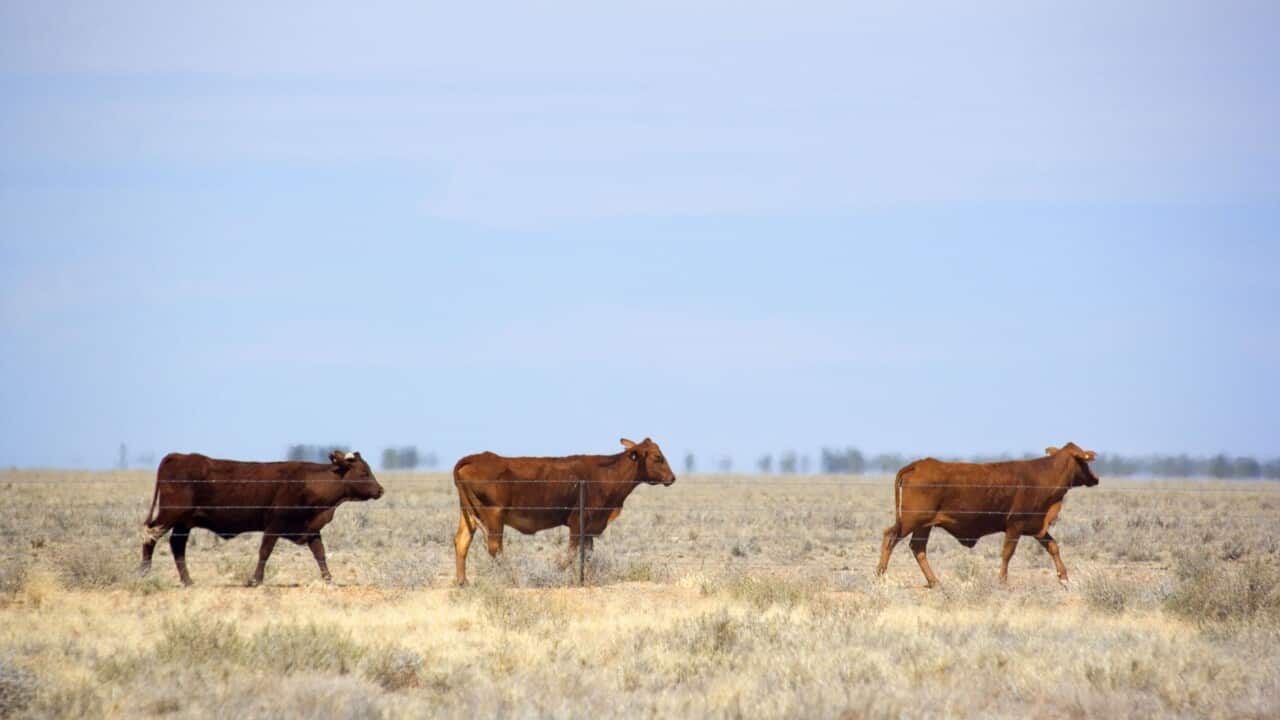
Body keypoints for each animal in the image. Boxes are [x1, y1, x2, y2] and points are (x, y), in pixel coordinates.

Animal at [139, 450, 384, 586]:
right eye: (364, 473)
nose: (380, 490)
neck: (308, 482)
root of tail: (176, 456)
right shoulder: (274, 525)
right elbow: (264, 552)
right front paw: (255, 580)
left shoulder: (311, 528)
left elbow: (320, 554)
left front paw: (329, 579)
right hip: (170, 514)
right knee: (150, 535)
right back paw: (144, 573)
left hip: (183, 522)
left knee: (176, 546)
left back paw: (187, 581)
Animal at [452, 437, 676, 585]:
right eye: (658, 457)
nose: (672, 478)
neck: (606, 474)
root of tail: (474, 458)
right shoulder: (578, 520)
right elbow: (573, 552)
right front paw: (557, 571)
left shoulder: (589, 525)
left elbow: (587, 553)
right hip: (494, 516)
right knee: (495, 548)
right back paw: (513, 576)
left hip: (468, 515)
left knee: (462, 542)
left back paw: (463, 582)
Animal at [875, 442, 1099, 588]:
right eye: (1084, 460)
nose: (1096, 478)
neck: (1042, 475)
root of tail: (919, 464)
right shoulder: (1015, 525)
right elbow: (1007, 553)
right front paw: (1002, 580)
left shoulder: (1036, 526)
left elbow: (1053, 547)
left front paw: (1064, 577)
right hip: (911, 521)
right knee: (890, 536)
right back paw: (880, 575)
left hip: (923, 525)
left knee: (918, 548)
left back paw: (934, 581)